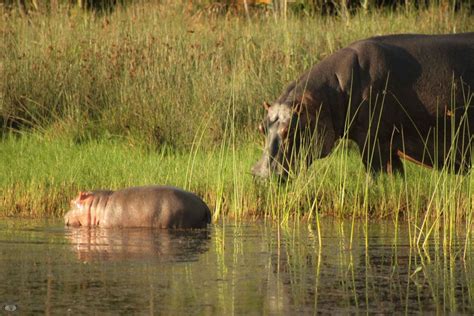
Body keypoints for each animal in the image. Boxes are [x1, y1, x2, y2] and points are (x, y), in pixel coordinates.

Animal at [254, 33, 474, 179]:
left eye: (290, 131)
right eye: (261, 128)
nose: (261, 174)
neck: (328, 95)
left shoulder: (373, 140)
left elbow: (375, 173)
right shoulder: (388, 146)